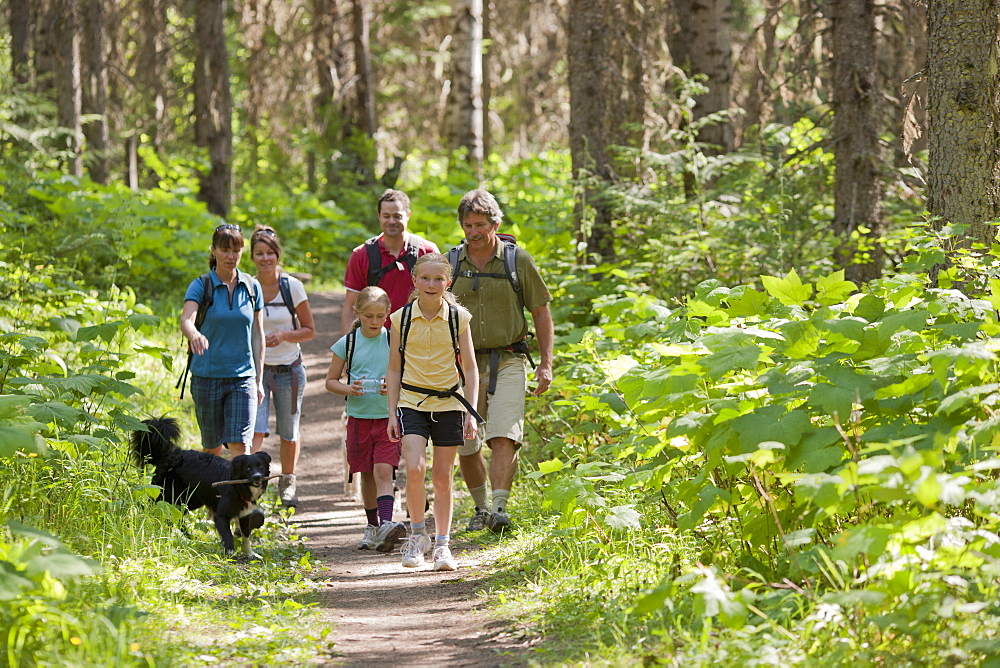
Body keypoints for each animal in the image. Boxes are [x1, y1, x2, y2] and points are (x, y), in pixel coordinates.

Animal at [133, 418, 276, 560]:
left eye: (261, 466)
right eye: (247, 468)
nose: (257, 477)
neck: (239, 487)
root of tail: (173, 453)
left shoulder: (245, 514)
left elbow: (246, 536)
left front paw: (250, 553)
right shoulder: (221, 515)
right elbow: (228, 535)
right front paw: (230, 552)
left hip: (190, 500)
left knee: (177, 516)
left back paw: (187, 537)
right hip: (169, 494)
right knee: (155, 507)